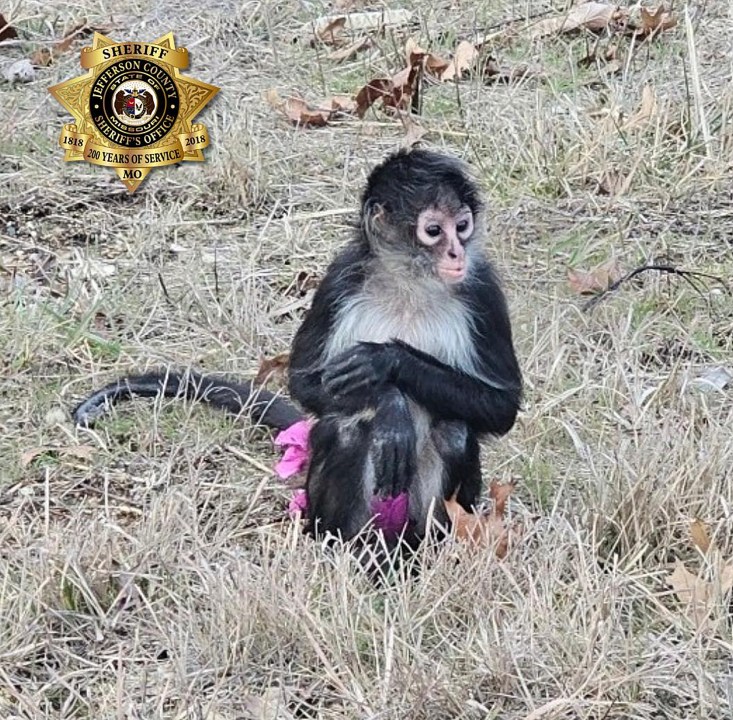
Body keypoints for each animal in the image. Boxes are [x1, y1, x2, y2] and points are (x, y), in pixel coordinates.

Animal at [73, 150, 520, 544]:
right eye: (434, 230)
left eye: (462, 225)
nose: (457, 253)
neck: (410, 284)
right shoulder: (340, 279)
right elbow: (306, 383)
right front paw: (390, 402)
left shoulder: (482, 289)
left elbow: (502, 407)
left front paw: (388, 361)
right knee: (342, 428)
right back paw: (340, 544)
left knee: (454, 432)